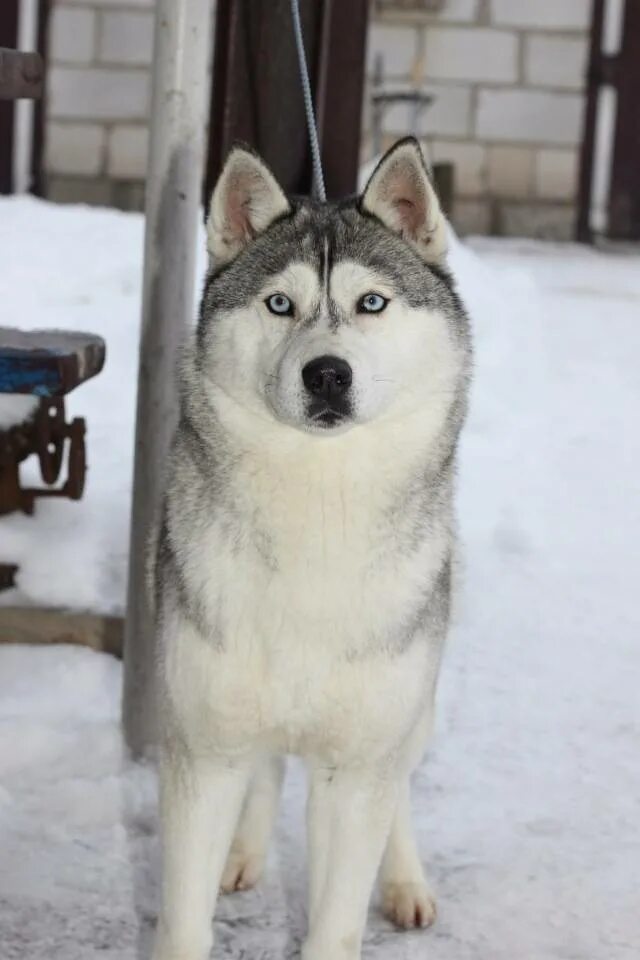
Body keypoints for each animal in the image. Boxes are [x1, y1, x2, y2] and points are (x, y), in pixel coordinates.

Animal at [150, 137, 470, 960]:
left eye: (371, 303)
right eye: (279, 304)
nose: (327, 372)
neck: (318, 516)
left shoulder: (355, 770)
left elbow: (336, 917)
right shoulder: (203, 752)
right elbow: (183, 921)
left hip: (411, 711)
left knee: (399, 792)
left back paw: (405, 883)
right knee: (267, 768)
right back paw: (244, 854)